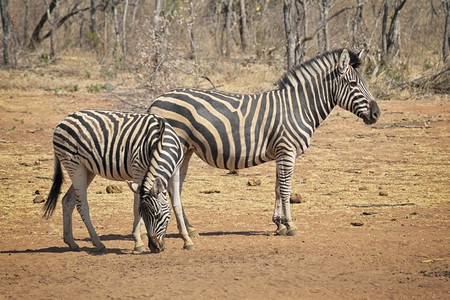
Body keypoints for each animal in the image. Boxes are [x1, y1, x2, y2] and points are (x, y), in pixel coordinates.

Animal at [43, 110, 194, 253]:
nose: (155, 247)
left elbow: (177, 205)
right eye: (144, 215)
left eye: (158, 215)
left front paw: (187, 240)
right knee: (82, 206)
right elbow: (136, 206)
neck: (161, 141)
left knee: (67, 201)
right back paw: (98, 243)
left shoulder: (175, 171)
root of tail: (64, 120)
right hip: (74, 165)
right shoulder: (138, 171)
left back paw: (71, 242)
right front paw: (138, 243)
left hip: (87, 169)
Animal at [148, 48, 380, 244]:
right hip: (173, 148)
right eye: (353, 84)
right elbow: (286, 188)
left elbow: (278, 187)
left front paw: (279, 224)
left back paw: (189, 228)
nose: (377, 114)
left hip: (186, 150)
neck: (300, 106)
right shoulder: (287, 150)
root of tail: (156, 100)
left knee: (174, 188)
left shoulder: (281, 152)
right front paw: (290, 225)